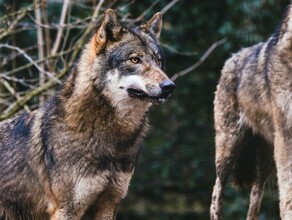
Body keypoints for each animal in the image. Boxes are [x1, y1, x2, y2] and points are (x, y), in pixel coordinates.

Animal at [210, 3, 292, 220]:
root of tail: (231, 58)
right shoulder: (286, 134)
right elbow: (288, 186)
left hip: (266, 160)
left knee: (256, 194)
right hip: (229, 147)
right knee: (216, 191)